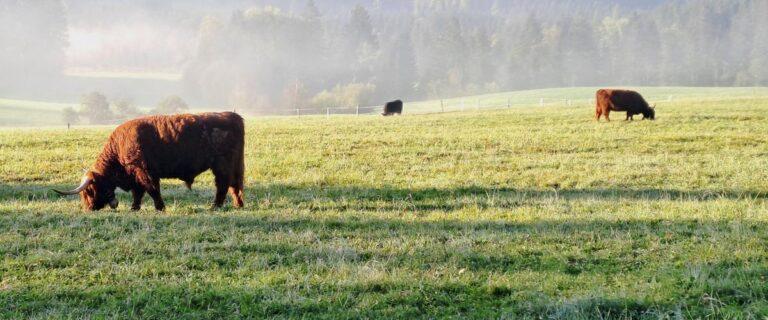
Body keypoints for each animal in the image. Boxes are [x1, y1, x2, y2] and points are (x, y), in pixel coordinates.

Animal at [54, 111, 244, 211]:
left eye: (89, 191)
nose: (88, 208)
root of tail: (232, 115)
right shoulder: (135, 175)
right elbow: (138, 193)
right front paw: (134, 208)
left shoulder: (144, 171)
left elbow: (151, 189)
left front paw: (160, 207)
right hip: (234, 165)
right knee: (235, 186)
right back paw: (238, 204)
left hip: (222, 165)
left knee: (223, 185)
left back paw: (215, 206)